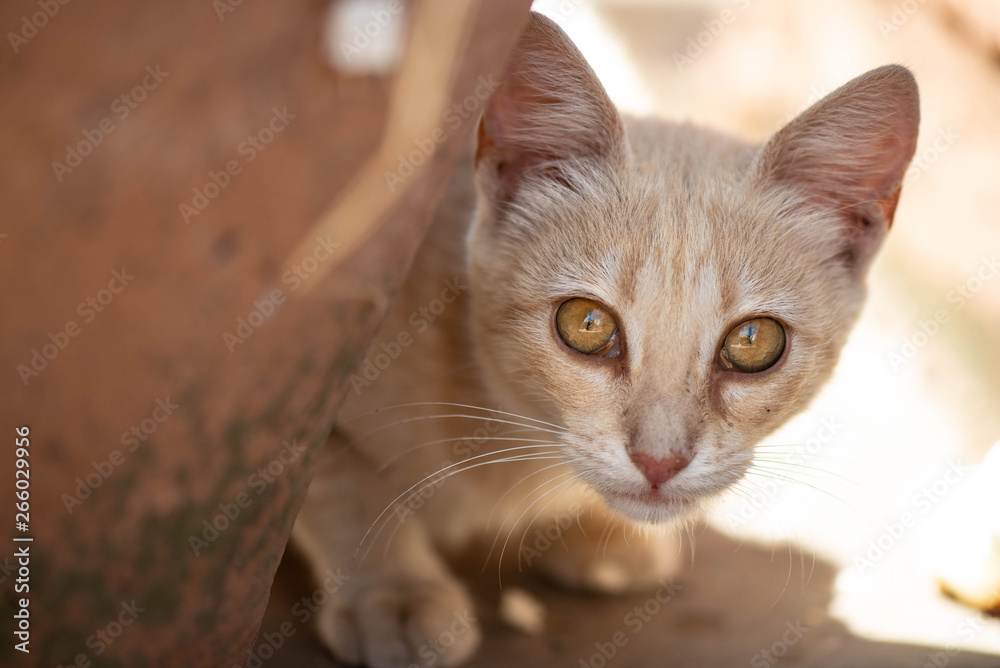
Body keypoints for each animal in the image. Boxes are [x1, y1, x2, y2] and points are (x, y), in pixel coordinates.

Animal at [292, 10, 920, 668]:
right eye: (587, 325)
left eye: (753, 341)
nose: (659, 461)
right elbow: (337, 478)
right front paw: (393, 589)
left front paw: (599, 533)